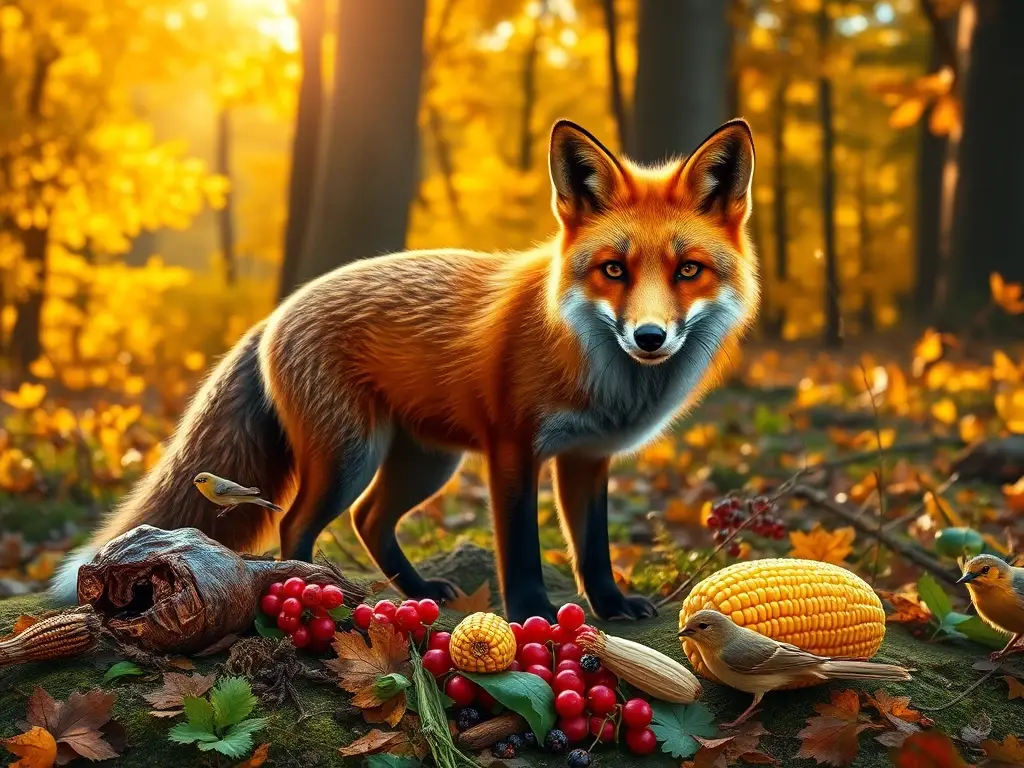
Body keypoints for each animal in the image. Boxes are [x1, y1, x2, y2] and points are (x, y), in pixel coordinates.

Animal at [52, 118, 759, 623]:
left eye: (688, 270)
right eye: (613, 269)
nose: (650, 336)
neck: (602, 373)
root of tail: (279, 310)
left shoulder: (588, 457)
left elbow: (593, 548)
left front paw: (611, 608)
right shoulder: (513, 446)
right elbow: (520, 549)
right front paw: (531, 613)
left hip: (426, 461)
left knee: (369, 520)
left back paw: (419, 589)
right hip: (350, 455)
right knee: (297, 522)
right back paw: (307, 594)